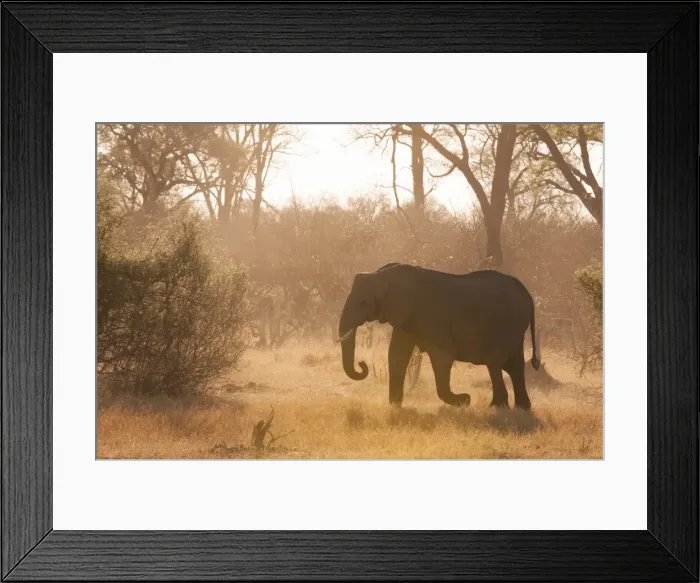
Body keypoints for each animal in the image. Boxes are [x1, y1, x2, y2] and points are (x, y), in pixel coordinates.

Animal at [338, 262, 540, 409]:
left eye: (363, 302)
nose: (362, 364)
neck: (384, 274)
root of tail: (528, 294)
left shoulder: (431, 316)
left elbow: (443, 356)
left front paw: (464, 401)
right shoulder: (406, 316)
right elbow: (397, 354)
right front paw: (395, 406)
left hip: (508, 323)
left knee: (495, 363)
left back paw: (497, 407)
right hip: (514, 326)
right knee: (514, 365)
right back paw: (521, 409)